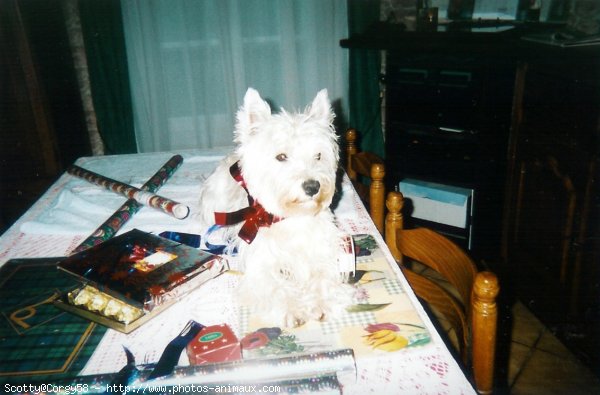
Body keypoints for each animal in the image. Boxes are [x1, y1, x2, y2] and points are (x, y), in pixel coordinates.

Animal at [199, 89, 354, 328]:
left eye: (318, 155)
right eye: (281, 156)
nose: (312, 186)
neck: (293, 217)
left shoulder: (324, 249)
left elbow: (322, 274)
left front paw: (321, 303)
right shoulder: (260, 263)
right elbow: (274, 285)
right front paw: (293, 309)